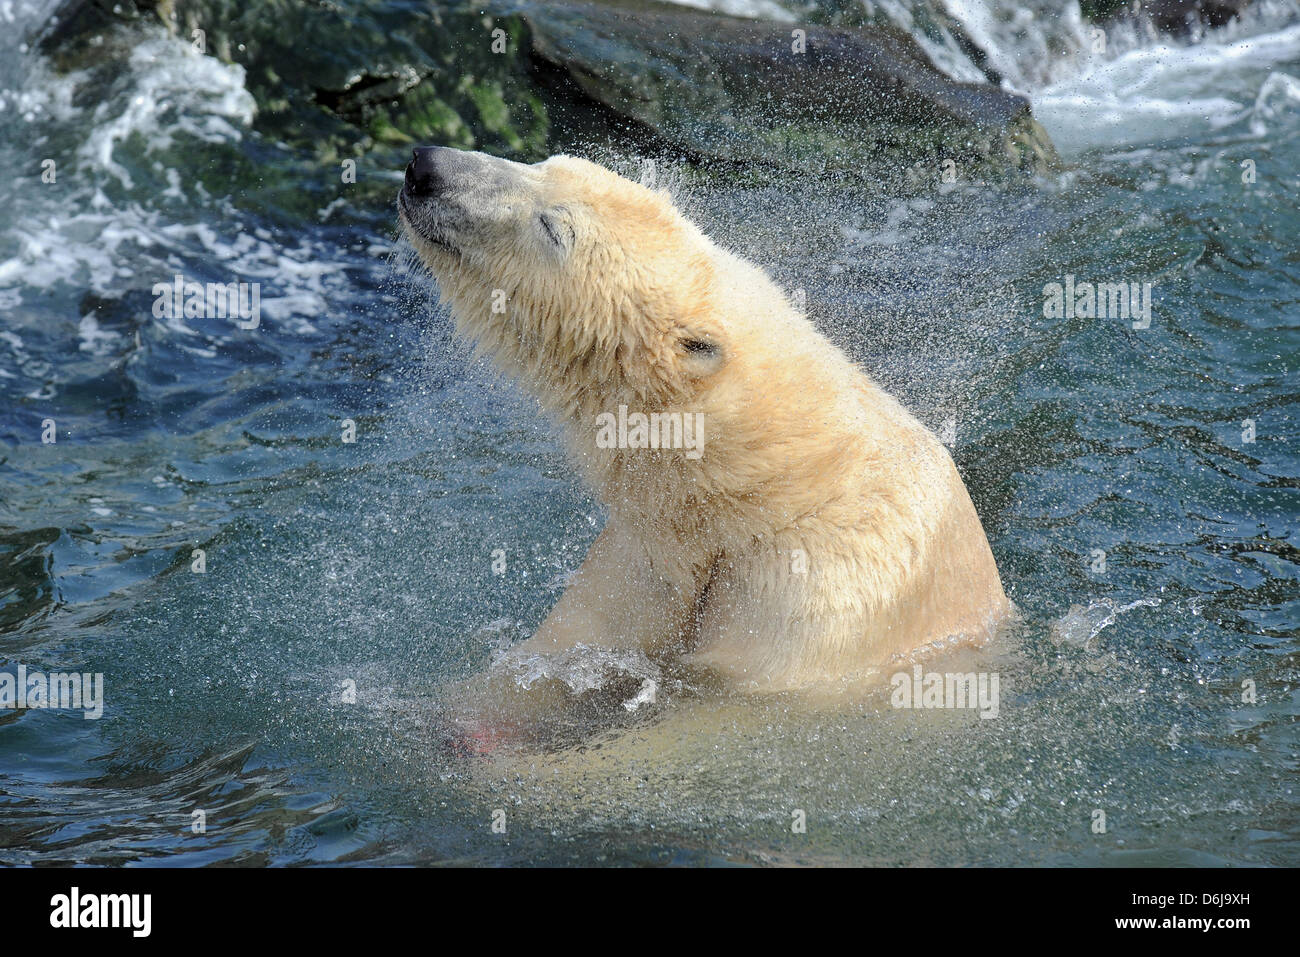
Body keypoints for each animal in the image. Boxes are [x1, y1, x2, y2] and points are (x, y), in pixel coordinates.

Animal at [400, 147, 1008, 733]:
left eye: (554, 227)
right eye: (541, 163)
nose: (424, 166)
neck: (782, 481)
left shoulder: (819, 601)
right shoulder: (650, 557)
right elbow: (569, 649)